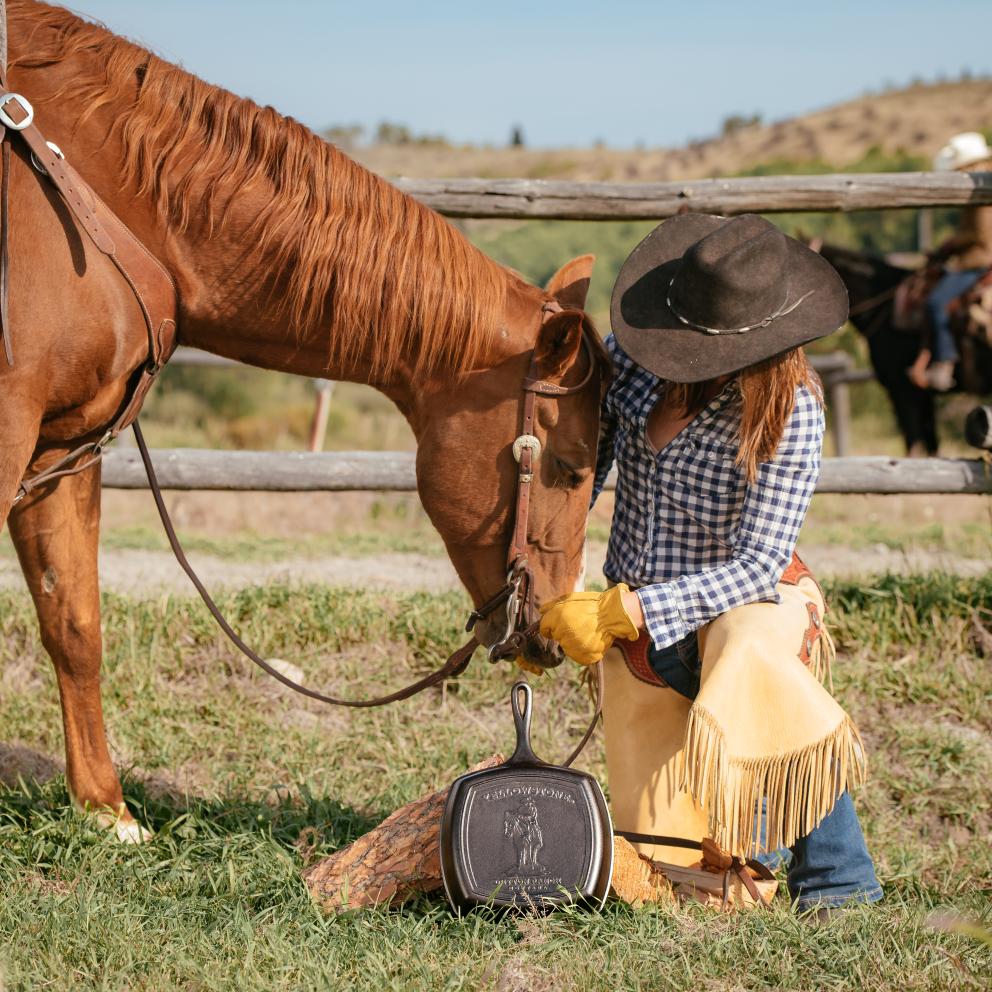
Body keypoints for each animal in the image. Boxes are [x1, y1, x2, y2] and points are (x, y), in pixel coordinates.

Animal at [0, 1, 608, 844]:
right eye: (571, 467)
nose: (556, 632)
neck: (91, 195)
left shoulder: (63, 449)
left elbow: (75, 624)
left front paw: (106, 812)